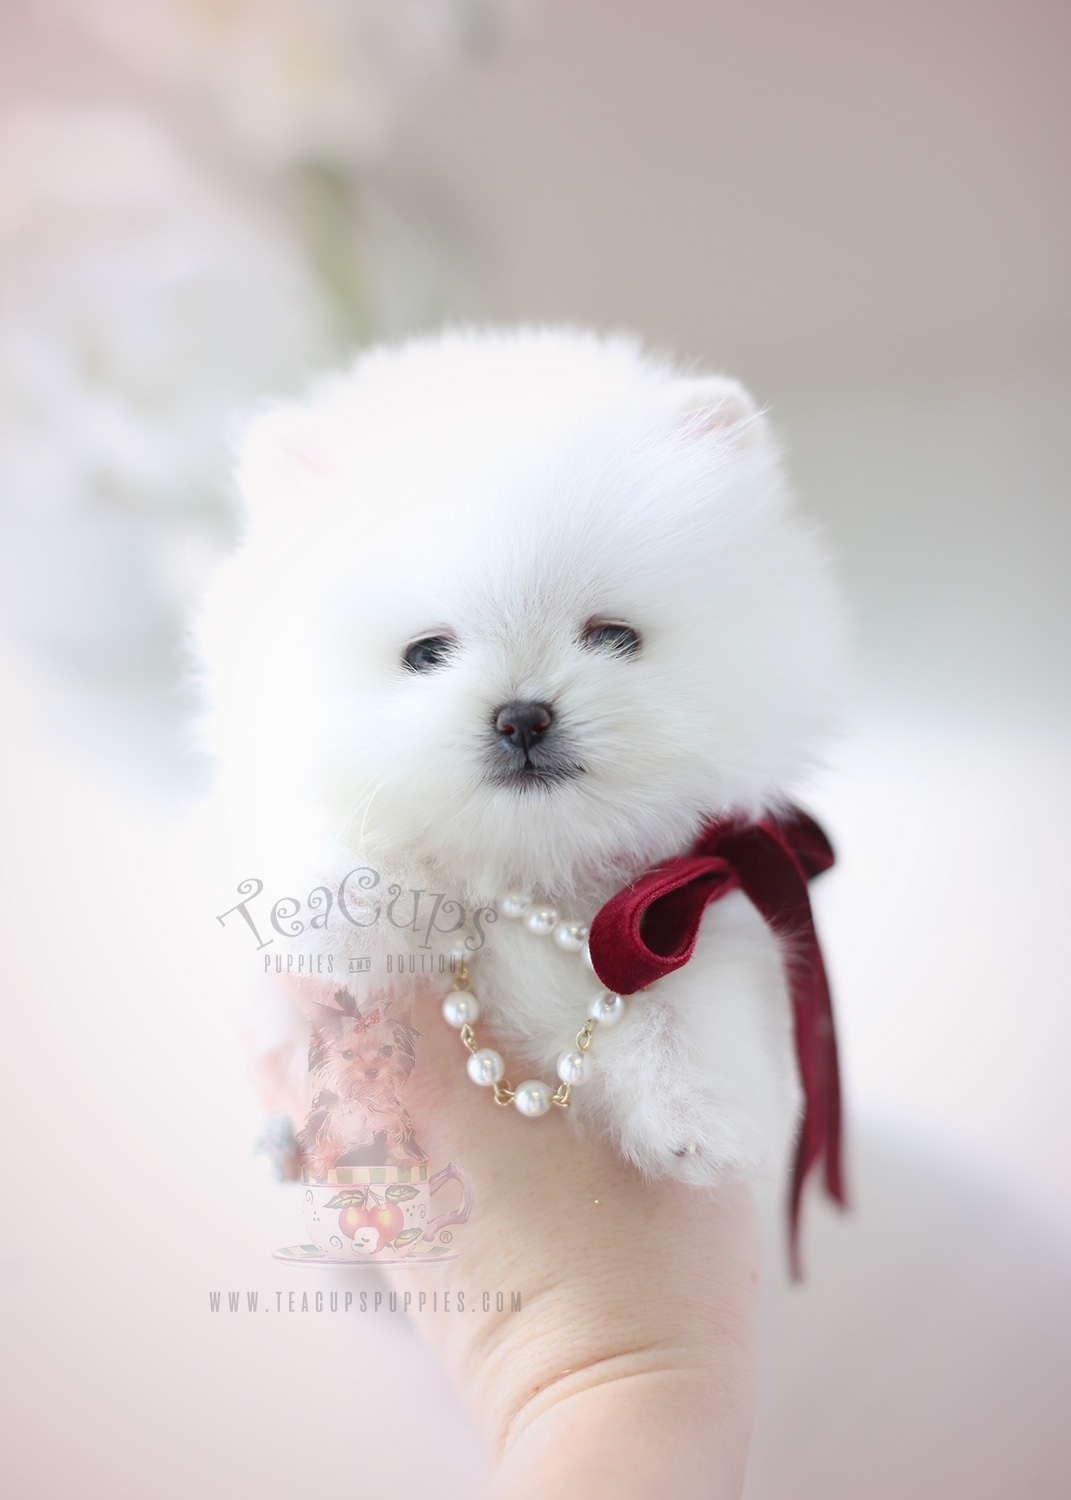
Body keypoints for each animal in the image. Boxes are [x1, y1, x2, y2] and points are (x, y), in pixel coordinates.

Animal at [193, 325, 840, 1206]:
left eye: (614, 636)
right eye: (425, 653)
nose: (522, 716)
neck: (531, 873)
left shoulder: (699, 897)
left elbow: (688, 1002)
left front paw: (696, 1114)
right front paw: (343, 902)